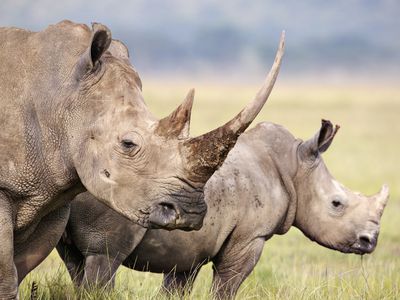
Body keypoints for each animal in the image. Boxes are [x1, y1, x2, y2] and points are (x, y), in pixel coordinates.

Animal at [0, 21, 284, 298]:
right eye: (128, 144)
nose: (190, 213)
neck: (59, 97)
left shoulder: (50, 192)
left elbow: (19, 267)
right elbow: (7, 271)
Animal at [57, 119, 390, 298]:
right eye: (337, 204)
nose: (369, 241)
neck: (294, 167)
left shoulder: (189, 249)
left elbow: (176, 288)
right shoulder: (250, 236)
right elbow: (227, 286)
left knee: (75, 262)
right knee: (104, 258)